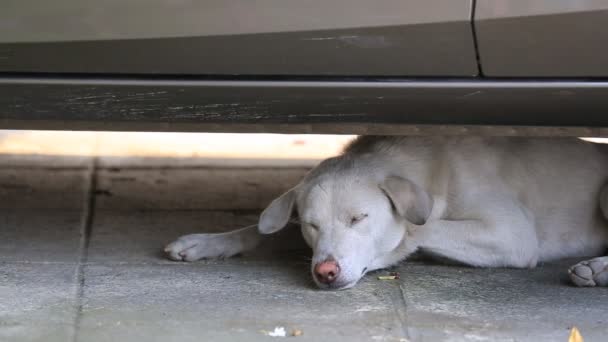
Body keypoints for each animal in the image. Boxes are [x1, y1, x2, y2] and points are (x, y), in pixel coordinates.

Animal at [164, 136, 604, 288]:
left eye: (359, 219)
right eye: (312, 225)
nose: (325, 272)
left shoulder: (512, 234)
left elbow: (415, 231)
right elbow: (264, 229)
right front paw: (208, 242)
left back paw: (595, 270)